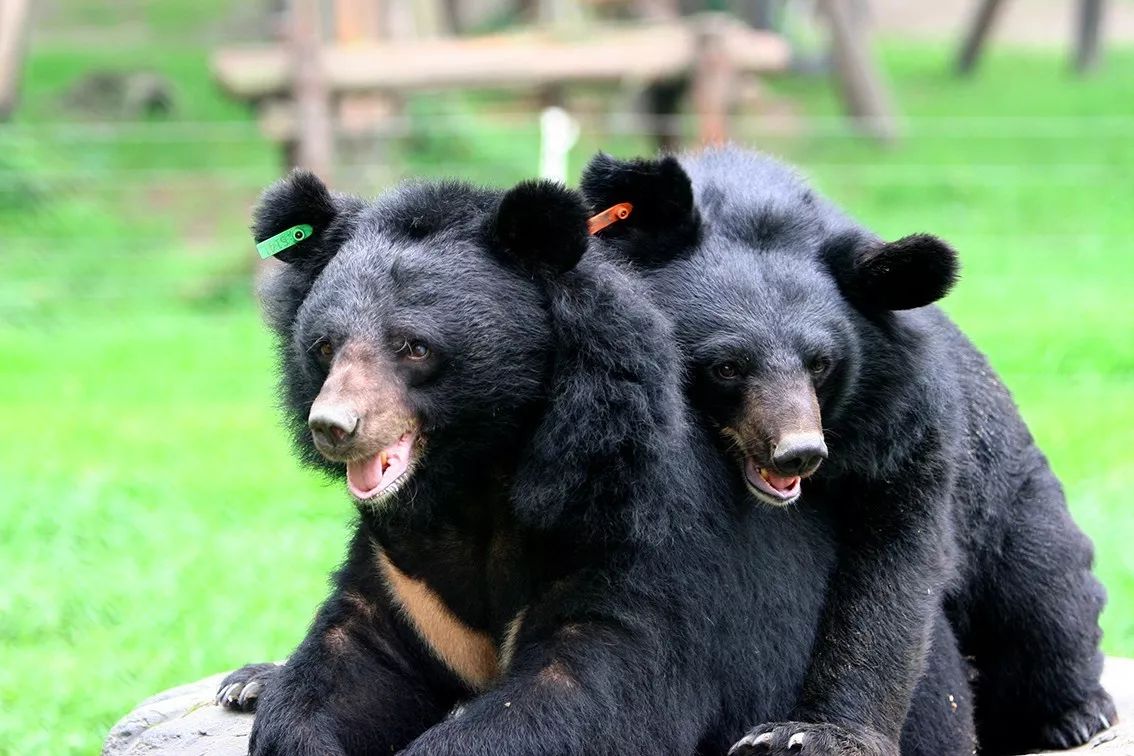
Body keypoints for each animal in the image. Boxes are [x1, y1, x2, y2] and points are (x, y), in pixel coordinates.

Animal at [218, 173, 975, 756]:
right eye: (324, 346)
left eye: (413, 347)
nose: (334, 427)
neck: (479, 474)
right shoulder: (405, 573)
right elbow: (352, 661)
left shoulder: (629, 529)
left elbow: (590, 695)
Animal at [580, 145, 1111, 752]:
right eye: (727, 366)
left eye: (821, 363)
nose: (799, 453)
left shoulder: (906, 419)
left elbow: (894, 567)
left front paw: (813, 734)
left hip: (1012, 502)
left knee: (1046, 599)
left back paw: (1076, 715)